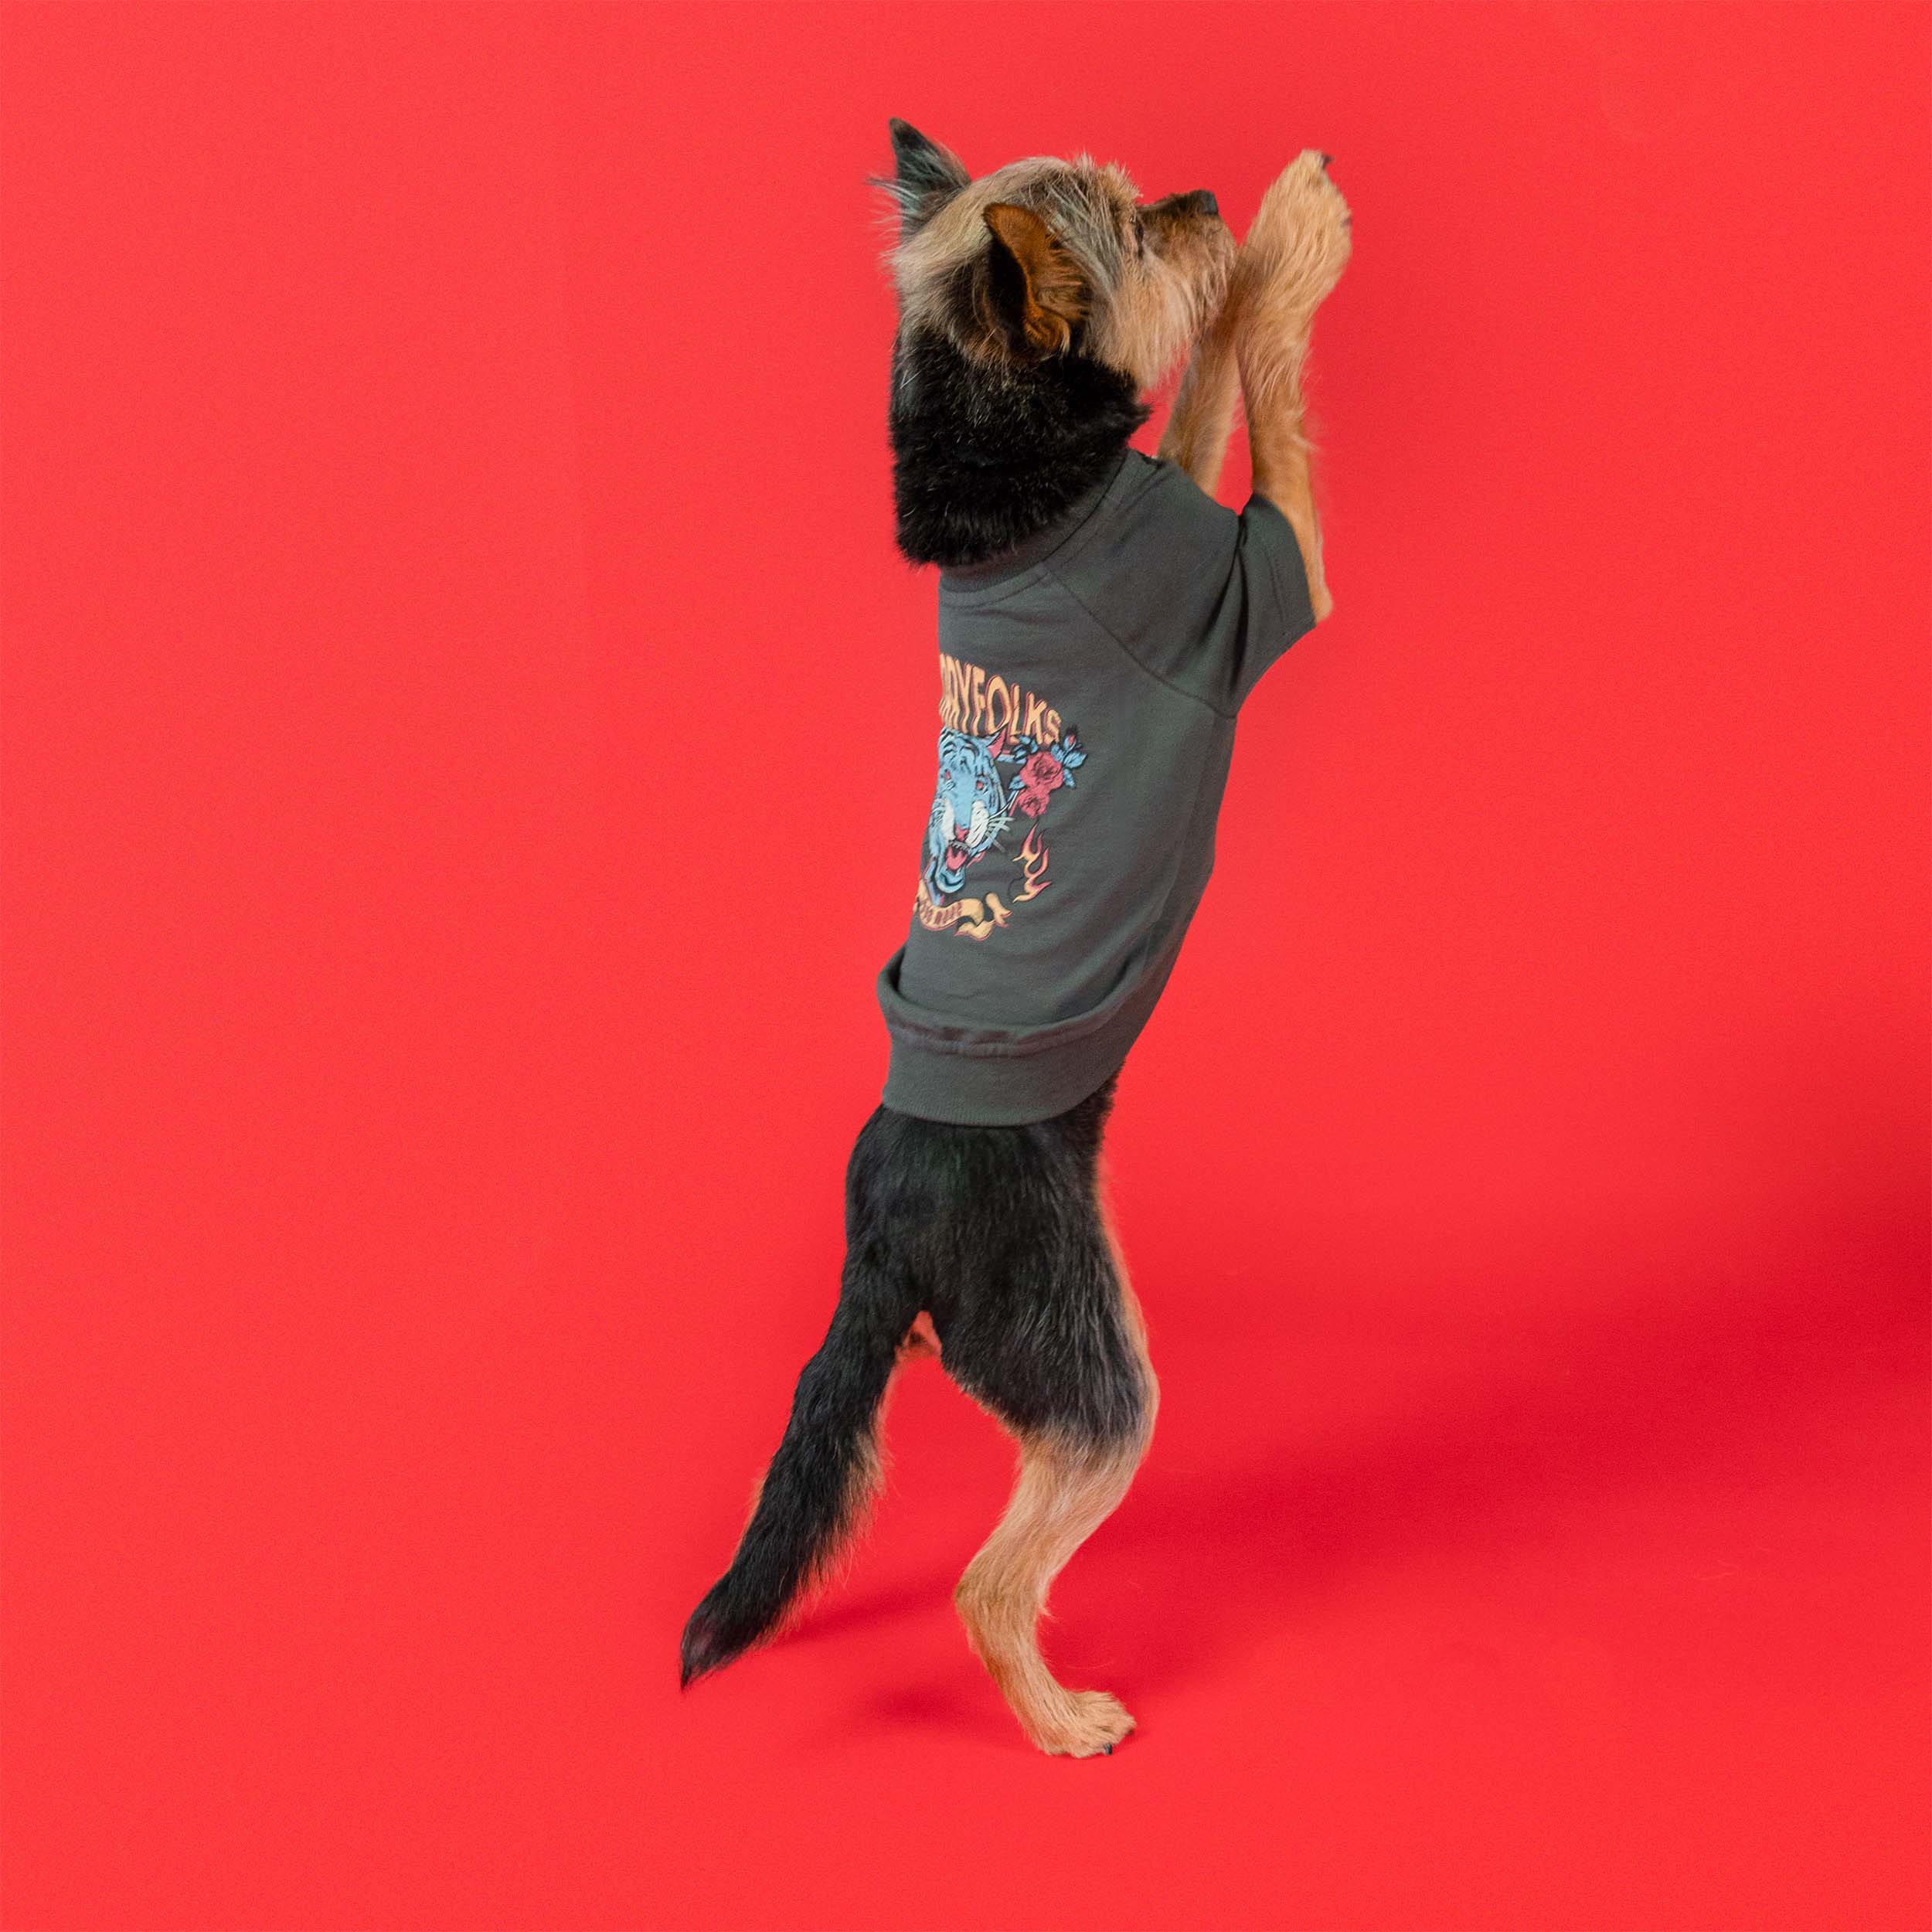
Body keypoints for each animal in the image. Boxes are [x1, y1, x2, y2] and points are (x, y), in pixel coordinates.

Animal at [688, 121, 1352, 1754]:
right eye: (1129, 222)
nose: (1195, 199)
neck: (1011, 491)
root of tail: (879, 1233)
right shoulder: (1260, 576)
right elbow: (1256, 367)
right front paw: (1284, 242)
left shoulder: (1167, 507)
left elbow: (1194, 412)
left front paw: (1246, 255)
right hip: (1088, 1358)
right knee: (991, 1582)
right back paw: (1061, 1720)